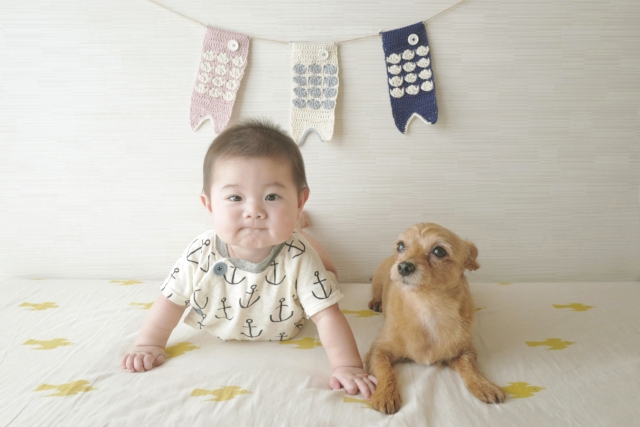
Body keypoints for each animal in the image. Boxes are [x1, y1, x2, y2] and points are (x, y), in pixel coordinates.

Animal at [364, 224, 504, 414]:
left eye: (439, 251)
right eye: (400, 246)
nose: (403, 266)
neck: (428, 305)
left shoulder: (465, 351)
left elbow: (470, 368)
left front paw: (484, 385)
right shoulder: (378, 351)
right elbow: (385, 369)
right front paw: (386, 393)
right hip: (378, 282)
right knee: (376, 291)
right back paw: (376, 302)